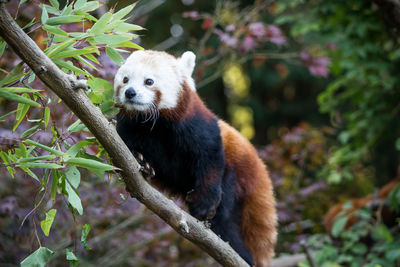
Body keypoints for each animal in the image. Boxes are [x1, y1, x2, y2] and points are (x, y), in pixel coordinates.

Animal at [112, 49, 276, 266]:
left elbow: (209, 159)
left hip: (235, 172)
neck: (155, 125)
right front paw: (140, 161)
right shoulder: (128, 129)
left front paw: (203, 204)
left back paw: (238, 251)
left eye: (149, 81)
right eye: (125, 79)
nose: (130, 92)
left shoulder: (198, 128)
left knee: (225, 215)